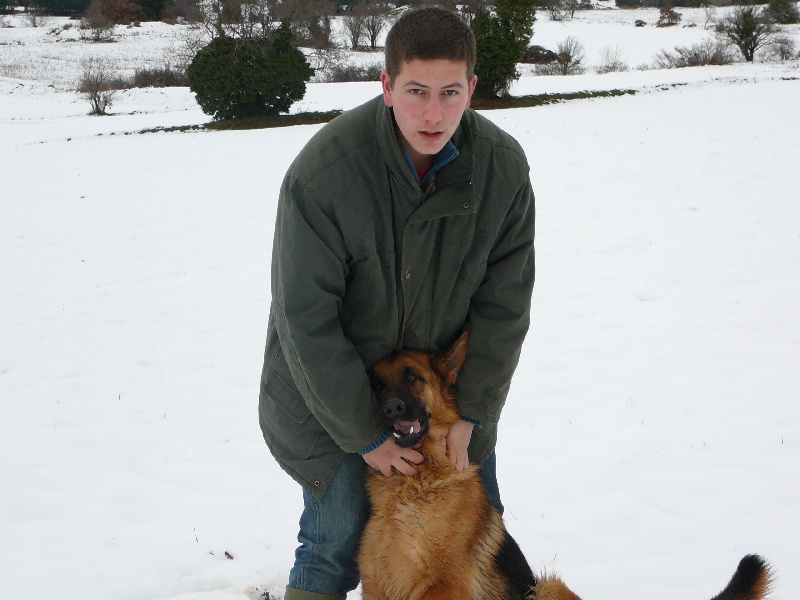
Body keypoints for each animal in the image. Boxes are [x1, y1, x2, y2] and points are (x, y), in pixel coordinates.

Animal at [358, 332, 773, 600]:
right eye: (376, 385)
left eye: (413, 377)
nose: (390, 409)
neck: (415, 488)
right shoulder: (377, 587)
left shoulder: (443, 587)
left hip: (547, 586)